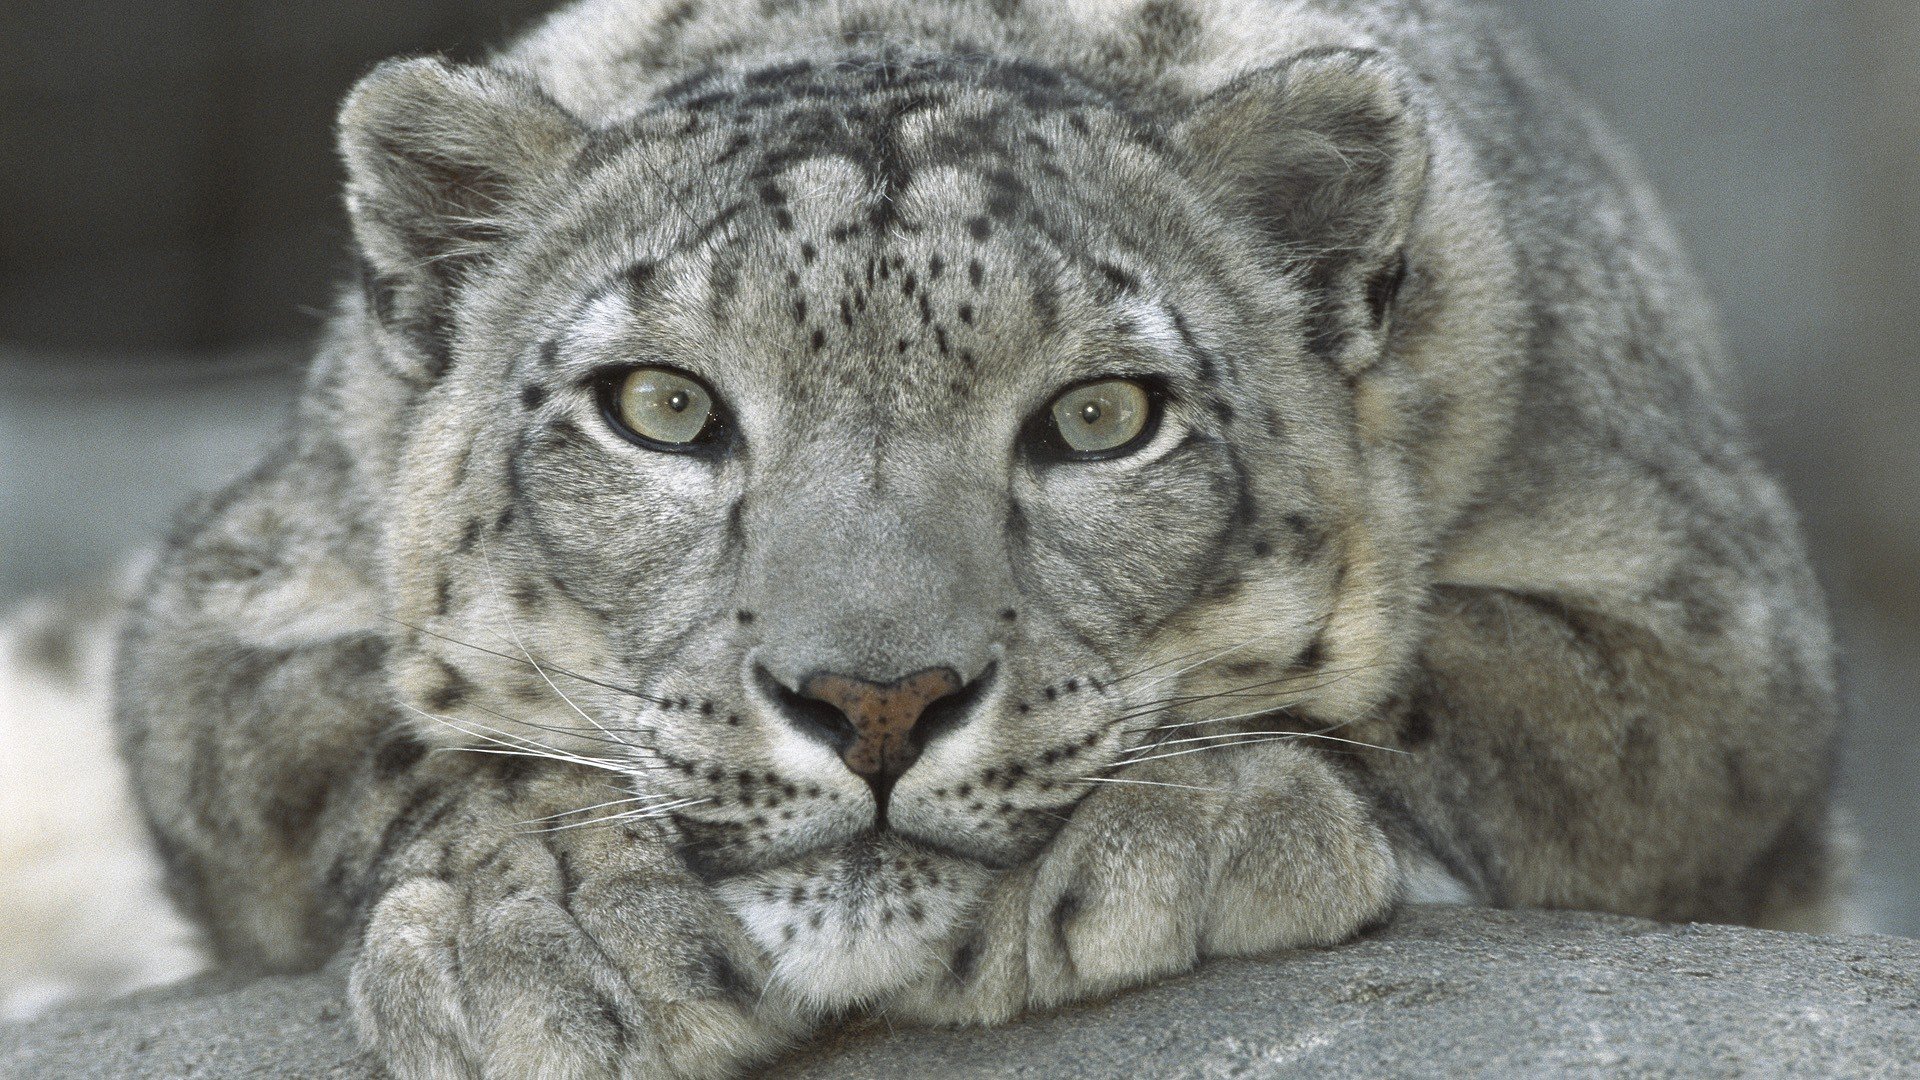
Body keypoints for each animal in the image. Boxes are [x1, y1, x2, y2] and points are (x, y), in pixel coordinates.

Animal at [108, 0, 1843, 1068]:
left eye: (1101, 417)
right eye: (662, 406)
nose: (876, 702)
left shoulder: (1701, 633)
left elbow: (1442, 684)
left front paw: (1181, 833)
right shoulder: (229, 602)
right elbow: (378, 731)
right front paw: (548, 925)